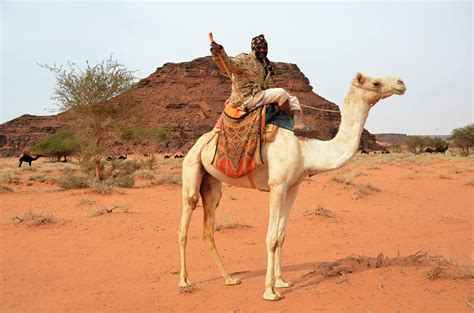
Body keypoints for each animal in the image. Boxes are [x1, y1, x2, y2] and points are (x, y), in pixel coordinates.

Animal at [178, 72, 408, 298]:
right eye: (376, 82)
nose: (401, 83)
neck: (307, 150)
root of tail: (199, 142)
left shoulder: (293, 187)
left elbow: (281, 236)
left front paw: (282, 281)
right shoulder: (277, 185)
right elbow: (271, 239)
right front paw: (270, 291)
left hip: (212, 183)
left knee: (209, 227)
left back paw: (230, 278)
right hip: (191, 168)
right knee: (185, 220)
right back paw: (184, 281)